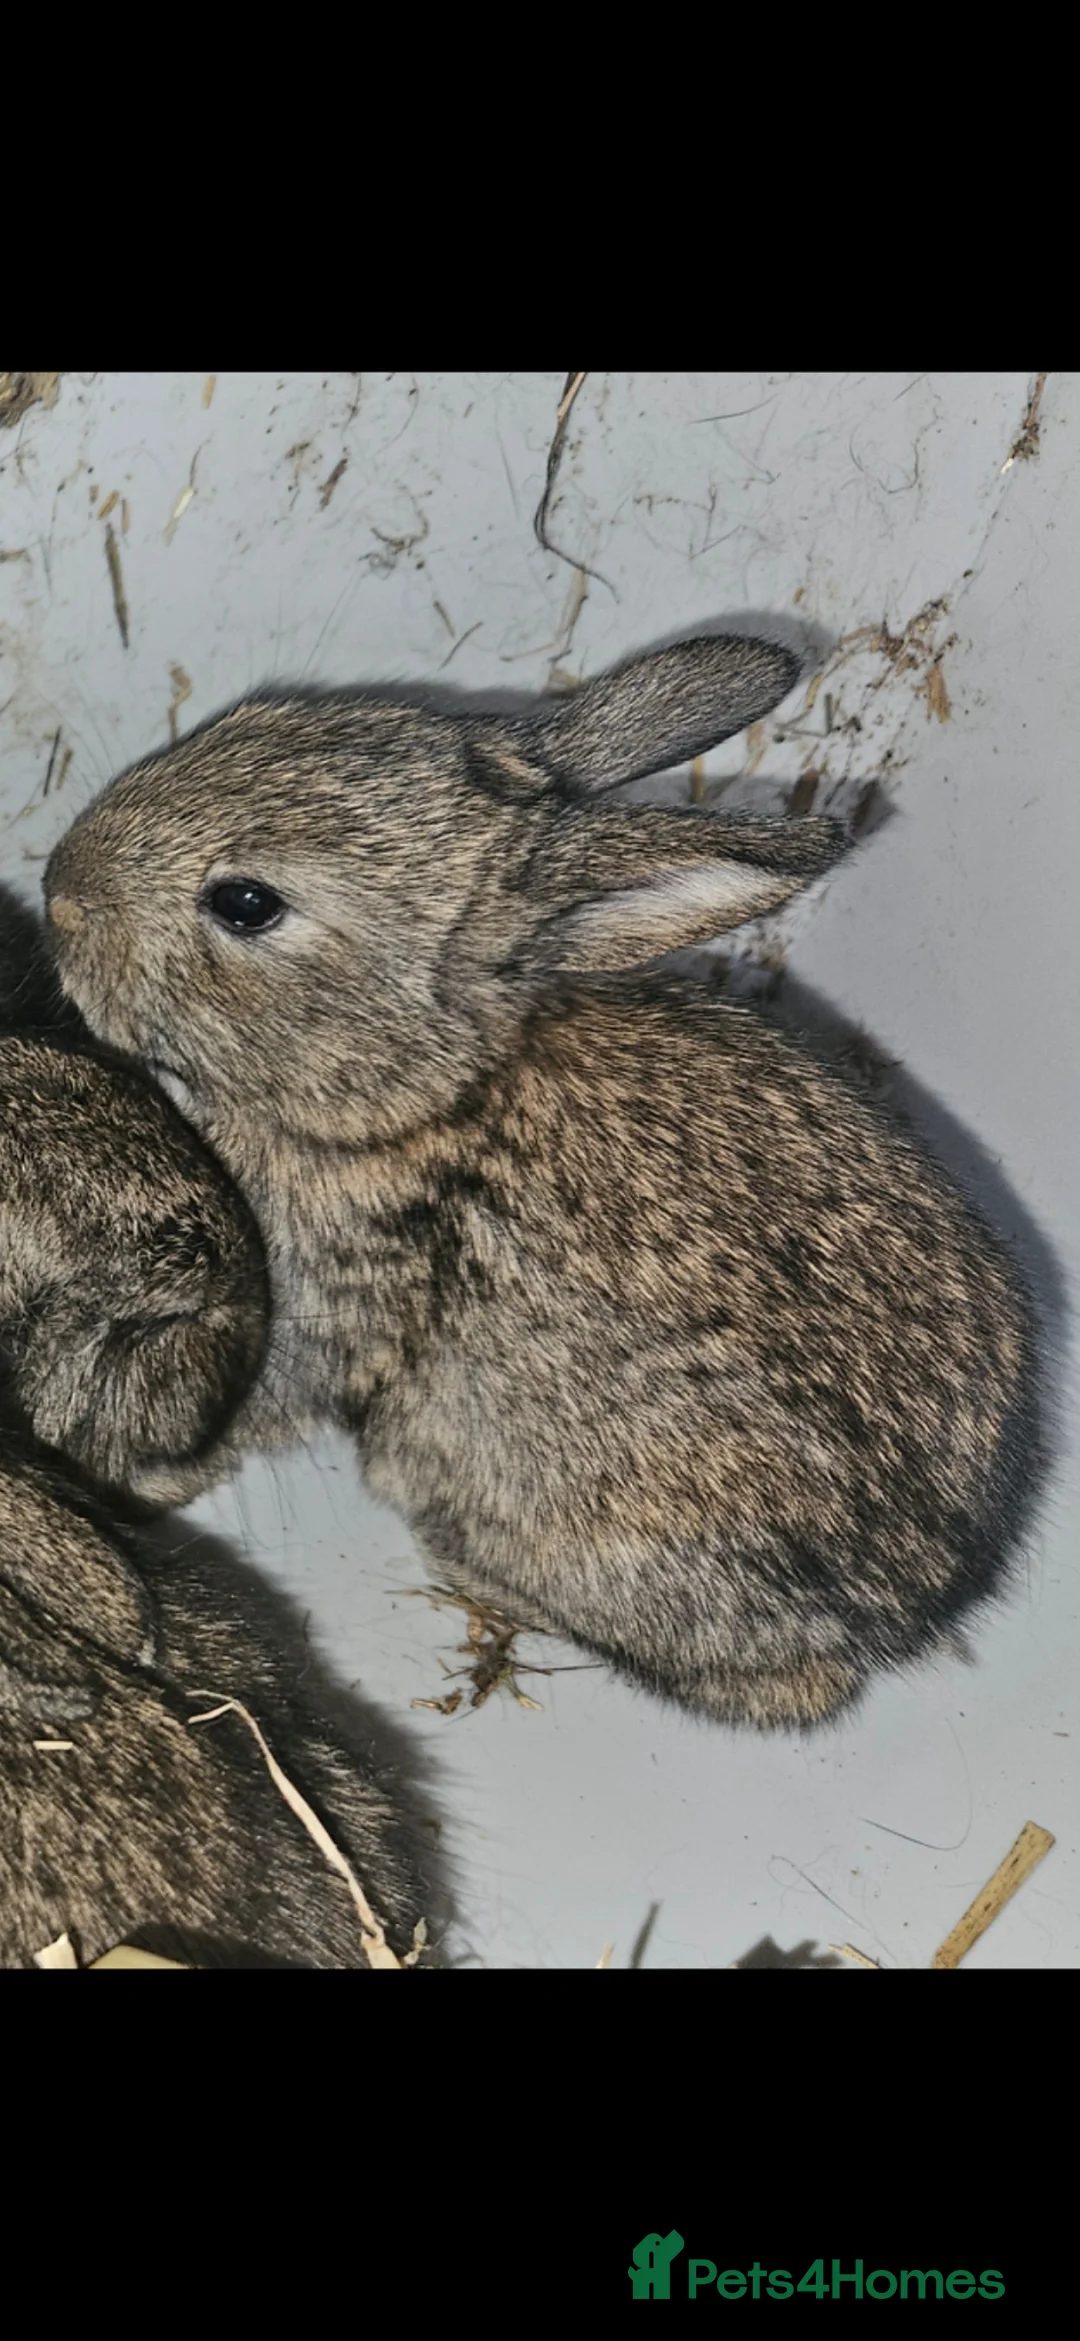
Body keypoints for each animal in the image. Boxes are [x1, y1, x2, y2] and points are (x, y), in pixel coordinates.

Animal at [43, 632, 1042, 1729]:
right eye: (254, 716)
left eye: (246, 903)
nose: (57, 890)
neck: (421, 1099)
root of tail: (921, 1613)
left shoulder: (319, 1300)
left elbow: (253, 1398)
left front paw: (138, 1480)